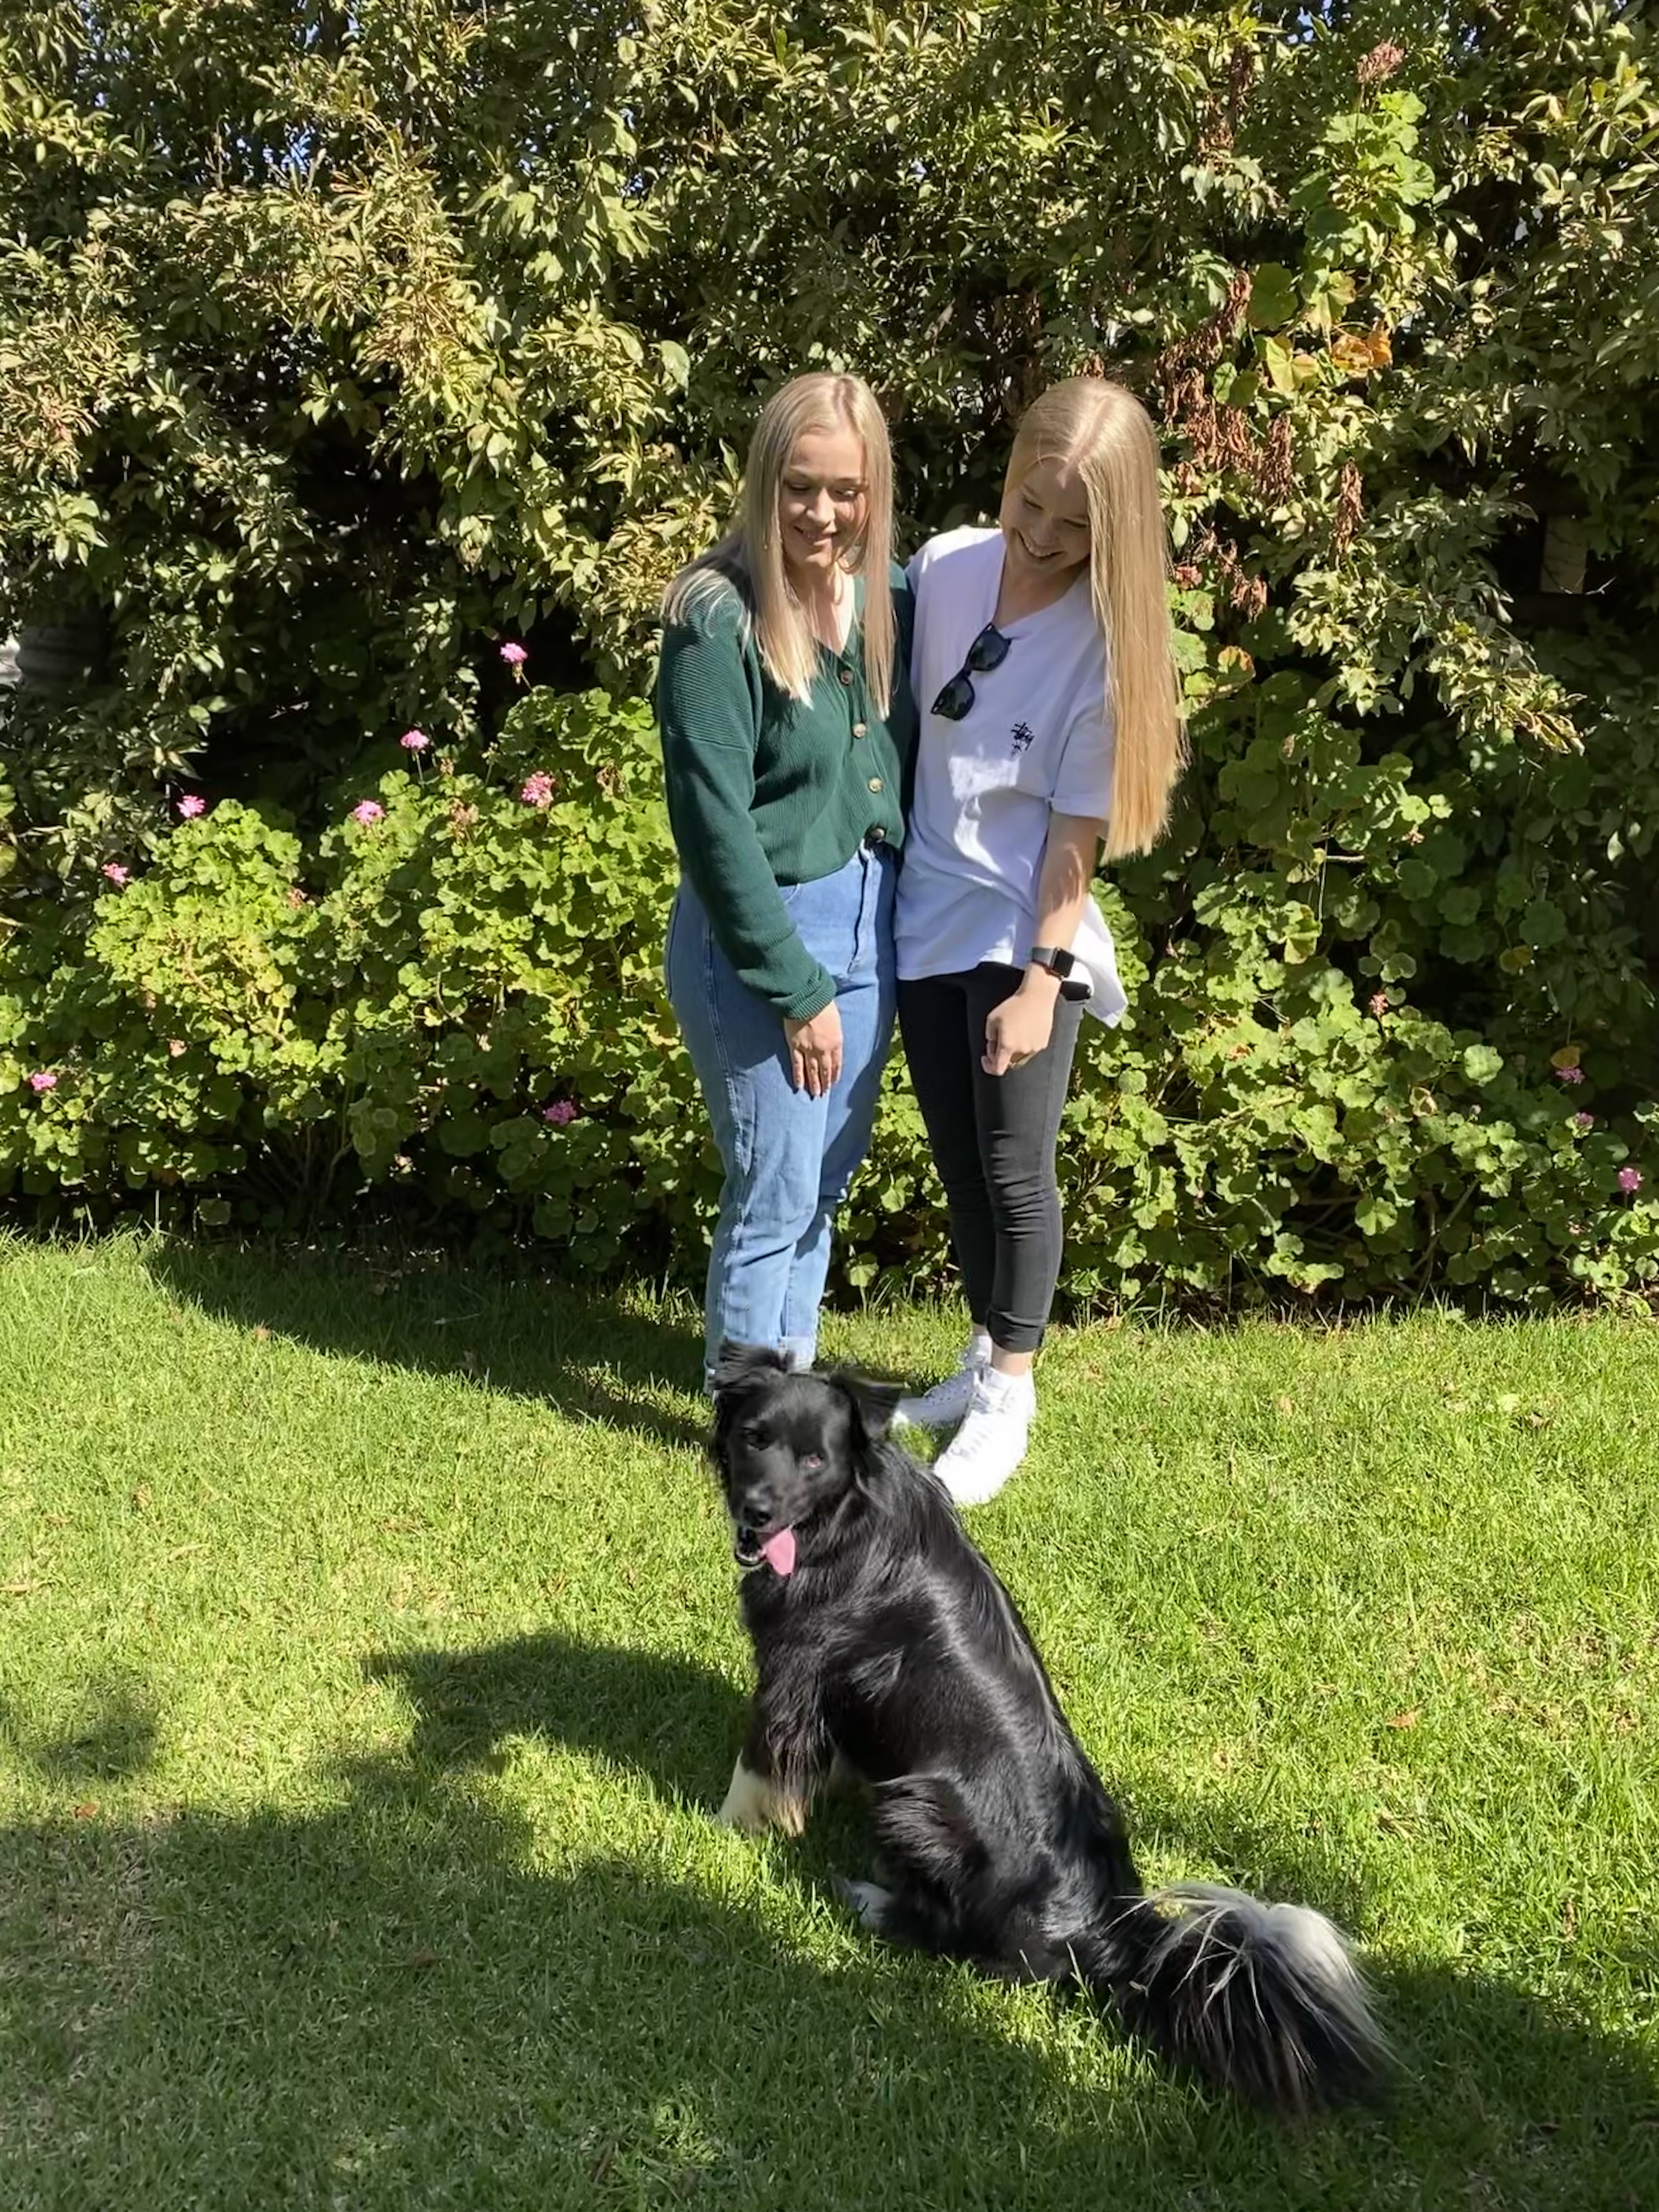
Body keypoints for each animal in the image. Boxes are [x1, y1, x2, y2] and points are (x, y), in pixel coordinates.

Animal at [712, 1336, 1389, 2114]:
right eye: (753, 1438)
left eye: (814, 1461)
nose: (757, 1511)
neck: (847, 1515)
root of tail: (1107, 1930)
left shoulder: (794, 1669)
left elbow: (758, 1765)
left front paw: (726, 1831)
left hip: (916, 1803)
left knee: (965, 1946)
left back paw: (874, 1901)